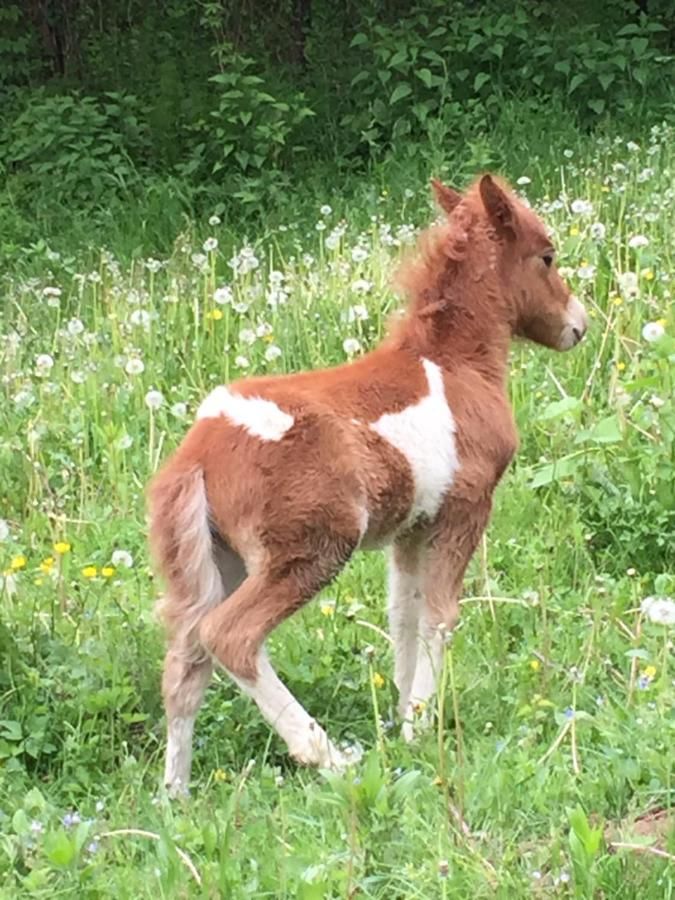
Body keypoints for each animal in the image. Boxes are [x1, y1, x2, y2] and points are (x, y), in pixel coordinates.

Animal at [149, 176, 588, 796]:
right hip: (311, 548)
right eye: (547, 255)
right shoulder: (466, 508)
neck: (456, 365)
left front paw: (404, 719)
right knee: (228, 636)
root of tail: (199, 453)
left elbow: (403, 615)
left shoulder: (412, 527)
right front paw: (421, 725)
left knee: (184, 659)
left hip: (215, 560)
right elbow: (440, 614)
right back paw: (326, 755)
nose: (578, 325)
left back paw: (176, 795)